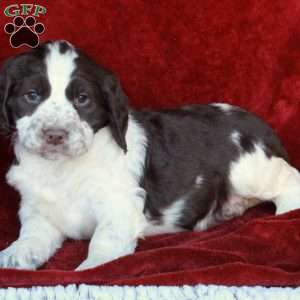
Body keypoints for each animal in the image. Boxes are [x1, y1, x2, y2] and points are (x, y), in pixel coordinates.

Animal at [0, 38, 300, 270]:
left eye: (82, 100)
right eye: (31, 95)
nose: (55, 135)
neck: (61, 168)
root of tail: (262, 126)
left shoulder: (119, 206)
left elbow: (104, 242)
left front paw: (91, 267)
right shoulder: (37, 209)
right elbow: (32, 234)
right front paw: (16, 254)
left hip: (249, 168)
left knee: (289, 179)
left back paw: (286, 213)